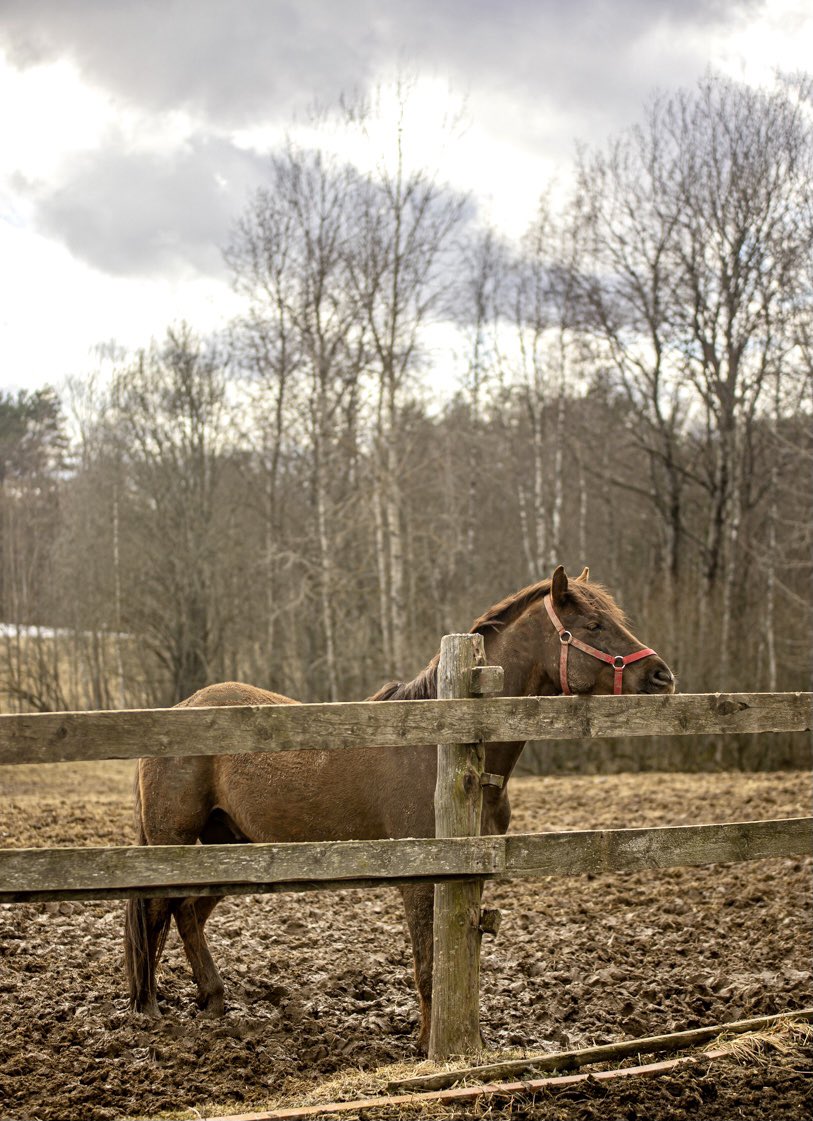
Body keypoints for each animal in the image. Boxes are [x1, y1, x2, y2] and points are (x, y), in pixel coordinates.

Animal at [125, 569, 672, 1049]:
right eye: (593, 624)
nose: (661, 675)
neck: (449, 746)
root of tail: (177, 711)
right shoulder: (422, 878)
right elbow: (428, 963)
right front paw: (430, 1045)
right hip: (174, 844)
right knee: (155, 913)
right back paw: (147, 1009)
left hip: (227, 848)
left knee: (187, 912)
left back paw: (213, 1001)